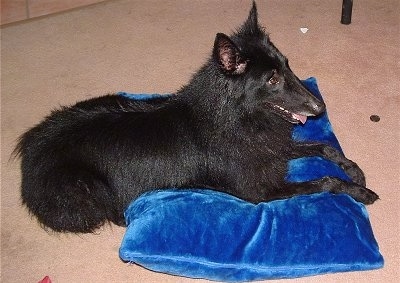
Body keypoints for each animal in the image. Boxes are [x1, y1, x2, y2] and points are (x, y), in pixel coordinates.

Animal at [14, 1, 378, 234]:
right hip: (88, 189)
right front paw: (358, 192)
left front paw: (354, 170)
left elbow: (323, 147)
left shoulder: (271, 149)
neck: (234, 118)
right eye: (272, 79)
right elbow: (325, 181)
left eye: (287, 66)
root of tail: (30, 147)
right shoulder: (260, 191)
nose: (320, 108)